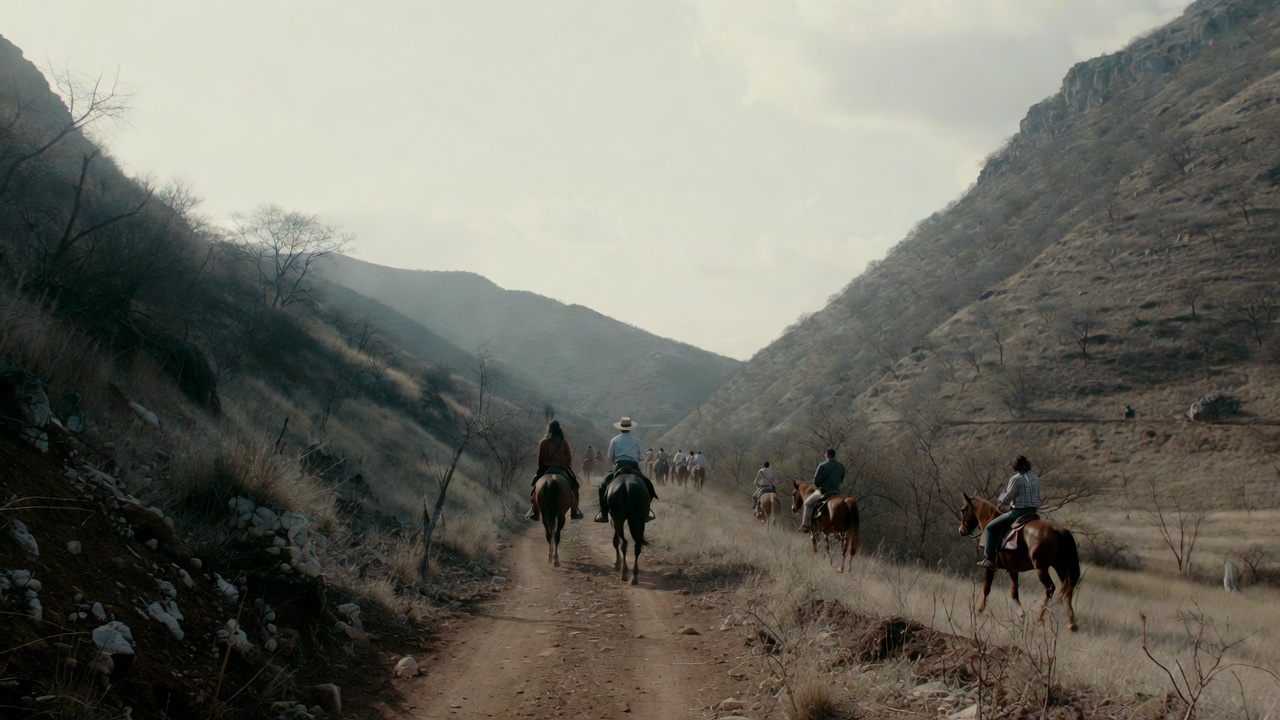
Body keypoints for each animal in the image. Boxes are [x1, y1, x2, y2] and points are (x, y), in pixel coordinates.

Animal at [958, 493, 1081, 632]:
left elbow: (986, 589)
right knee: (1068, 589)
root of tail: (1059, 530)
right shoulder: (1013, 569)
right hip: (1060, 567)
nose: (961, 530)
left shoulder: (989, 567)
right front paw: (1021, 613)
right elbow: (1014, 592)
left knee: (1050, 588)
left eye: (963, 509)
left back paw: (1039, 619)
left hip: (1041, 568)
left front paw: (979, 611)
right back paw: (1071, 623)